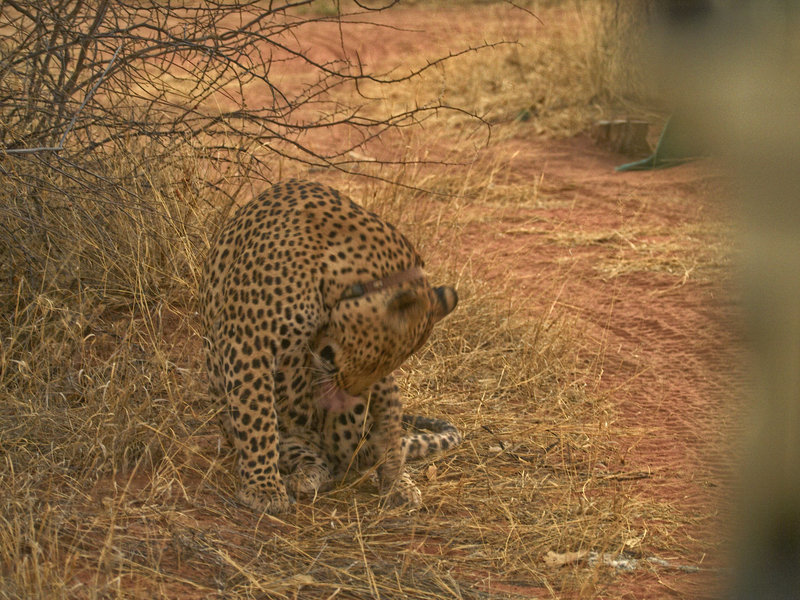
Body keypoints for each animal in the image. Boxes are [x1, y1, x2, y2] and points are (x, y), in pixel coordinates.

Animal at [201, 180, 460, 514]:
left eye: (380, 367)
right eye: (372, 361)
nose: (346, 397)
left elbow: (390, 429)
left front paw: (397, 483)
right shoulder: (248, 338)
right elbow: (256, 416)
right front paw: (264, 489)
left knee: (362, 454)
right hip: (286, 438)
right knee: (317, 459)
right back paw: (303, 477)